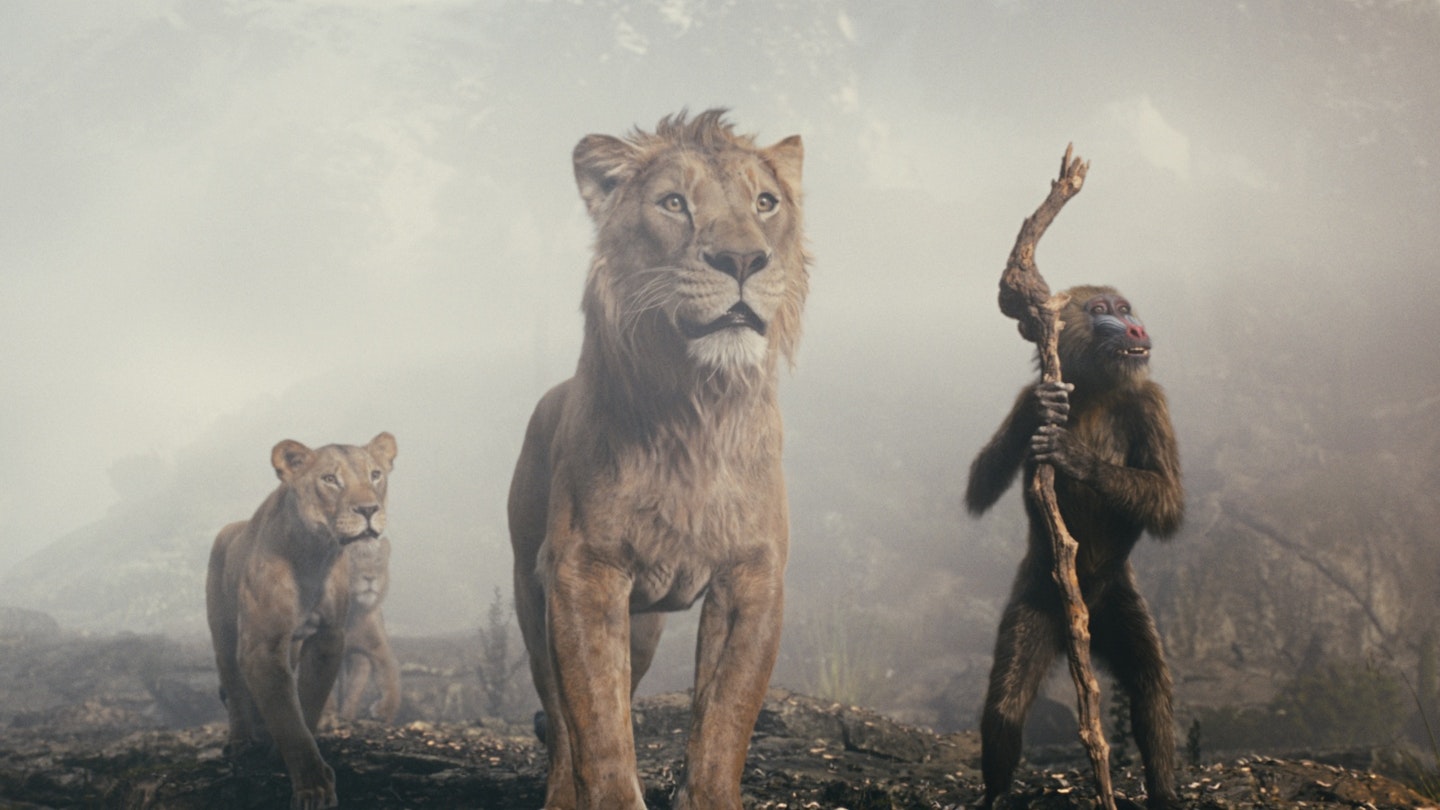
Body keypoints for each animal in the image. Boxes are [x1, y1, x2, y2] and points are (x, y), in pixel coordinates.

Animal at [332, 534, 401, 723]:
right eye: (352, 561)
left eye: (377, 561)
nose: (370, 578)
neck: (353, 613)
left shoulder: (374, 648)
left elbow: (390, 676)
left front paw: (385, 711)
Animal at [508, 109, 808, 810]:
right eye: (674, 203)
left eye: (766, 202)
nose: (742, 259)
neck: (697, 409)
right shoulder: (583, 572)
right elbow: (598, 727)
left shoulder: (752, 576)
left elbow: (724, 721)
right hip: (533, 593)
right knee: (559, 718)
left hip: (642, 625)